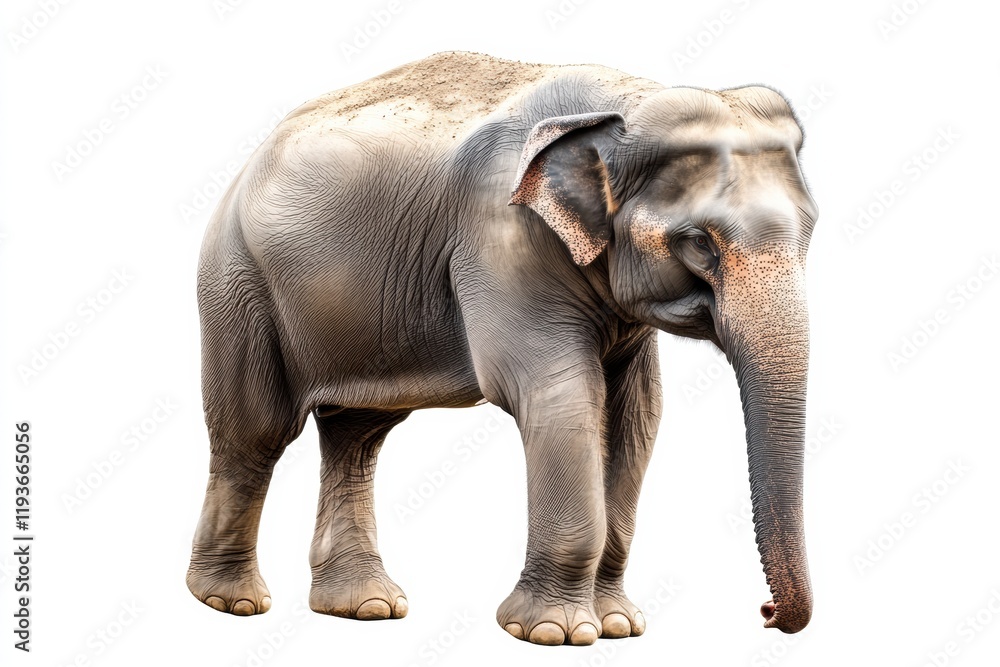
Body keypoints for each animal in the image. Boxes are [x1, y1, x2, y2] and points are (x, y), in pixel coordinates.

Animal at [186, 51, 818, 646]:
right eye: (698, 244)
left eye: (810, 231)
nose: (765, 613)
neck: (624, 105)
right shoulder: (499, 238)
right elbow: (560, 394)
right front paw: (555, 633)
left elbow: (636, 413)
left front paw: (618, 625)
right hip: (237, 280)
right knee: (257, 432)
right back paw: (230, 602)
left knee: (356, 435)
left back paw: (365, 607)